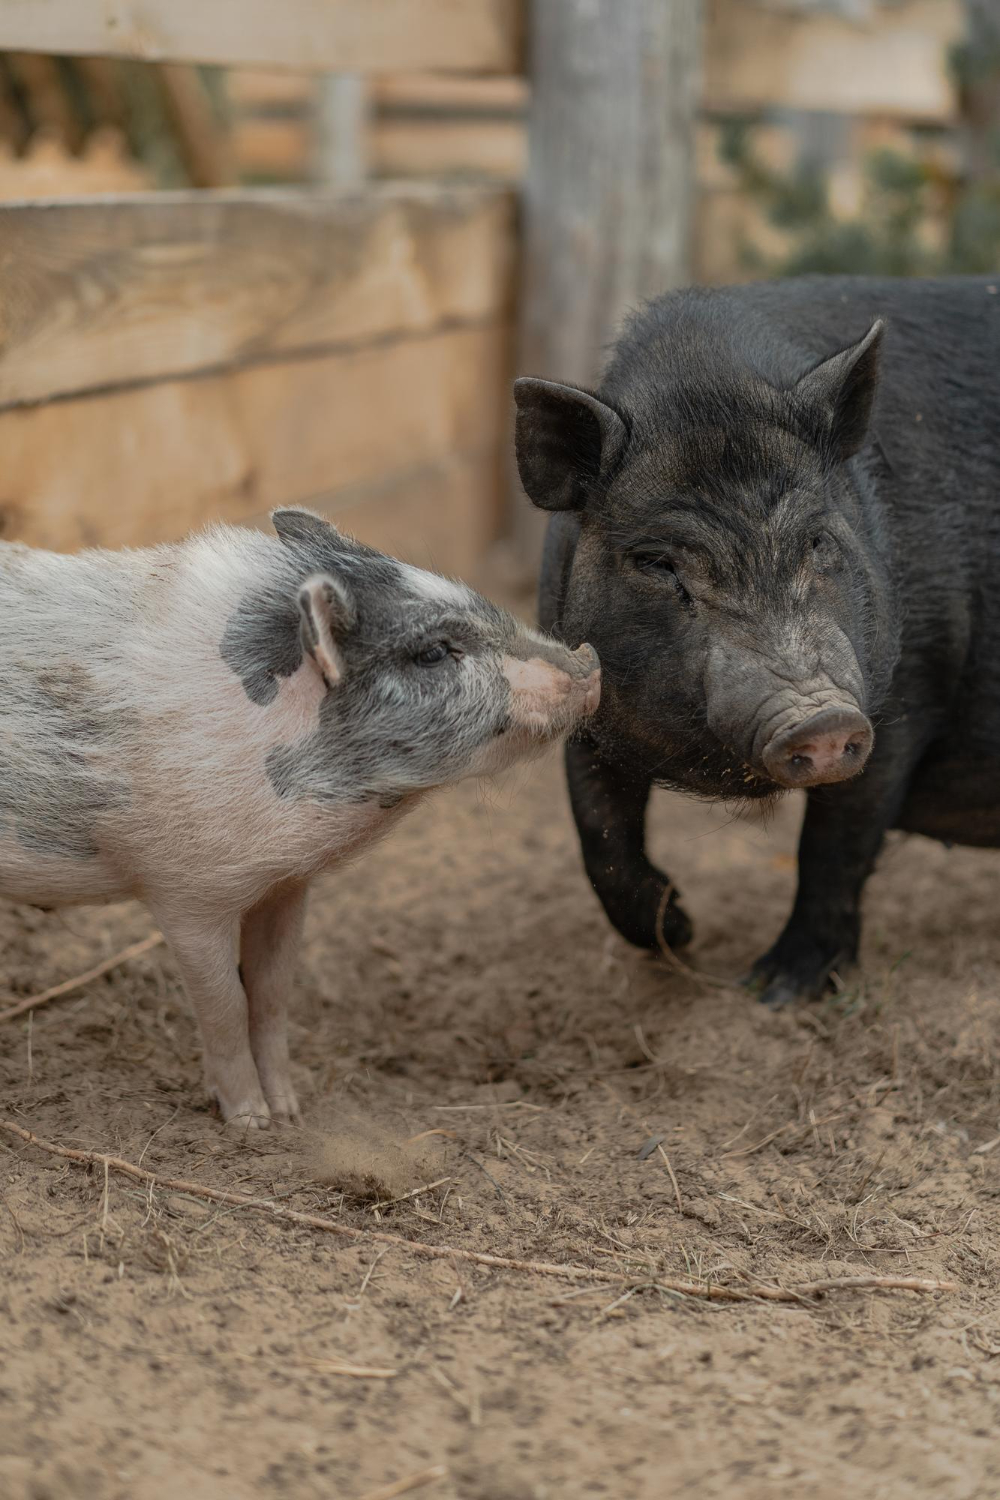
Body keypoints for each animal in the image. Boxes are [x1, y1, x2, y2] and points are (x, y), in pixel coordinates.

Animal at [515, 282, 1000, 1008]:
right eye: (657, 562)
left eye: (818, 541)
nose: (821, 719)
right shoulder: (584, 697)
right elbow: (599, 837)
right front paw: (682, 932)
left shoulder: (905, 696)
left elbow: (834, 847)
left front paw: (771, 991)